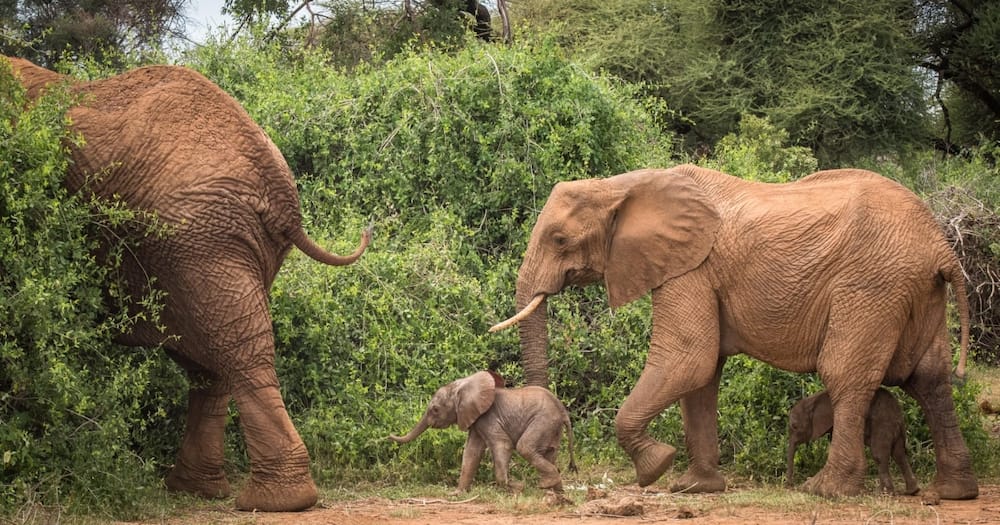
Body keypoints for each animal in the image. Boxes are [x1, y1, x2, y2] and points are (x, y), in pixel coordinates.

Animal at [4, 57, 372, 512]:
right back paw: (197, 489)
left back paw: (274, 500)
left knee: (236, 352)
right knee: (214, 361)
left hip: (198, 240)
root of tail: (281, 194)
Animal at [390, 368, 580, 492]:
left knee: (525, 447)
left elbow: (502, 445)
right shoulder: (476, 420)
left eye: (435, 409)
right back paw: (556, 491)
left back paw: (545, 485)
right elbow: (471, 452)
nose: (389, 436)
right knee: (550, 453)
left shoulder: (488, 417)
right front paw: (457, 494)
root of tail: (563, 411)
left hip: (543, 420)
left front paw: (517, 487)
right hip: (551, 427)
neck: (463, 385)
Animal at [784, 386, 916, 494]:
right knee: (899, 454)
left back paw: (883, 492)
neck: (814, 399)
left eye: (795, 426)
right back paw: (912, 491)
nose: (790, 485)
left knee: (879, 455)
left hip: (883, 425)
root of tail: (899, 417)